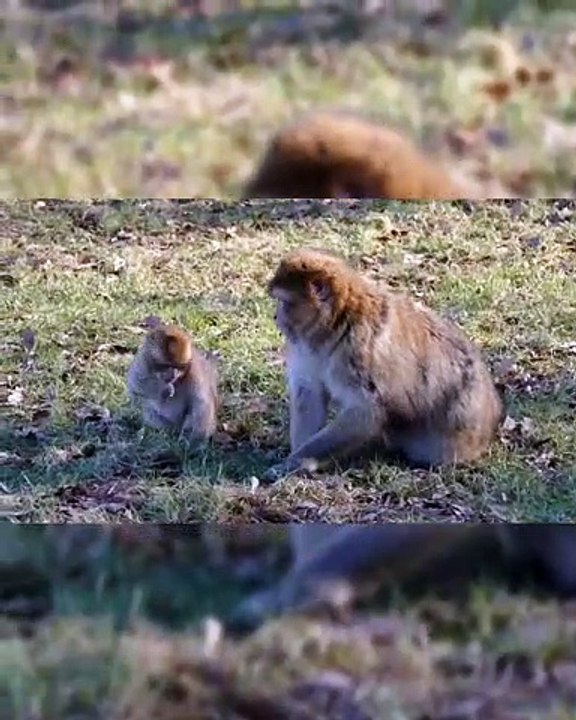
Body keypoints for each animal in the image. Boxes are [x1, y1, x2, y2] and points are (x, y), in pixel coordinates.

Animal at [263, 248, 503, 483]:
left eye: (284, 302)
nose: (276, 317)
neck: (333, 326)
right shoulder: (305, 348)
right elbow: (309, 394)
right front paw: (295, 459)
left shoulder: (358, 350)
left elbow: (367, 411)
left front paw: (299, 460)